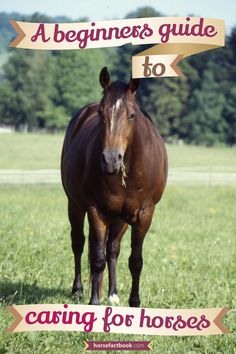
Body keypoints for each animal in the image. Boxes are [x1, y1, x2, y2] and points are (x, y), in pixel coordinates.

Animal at [60, 67, 168, 306]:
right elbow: (97, 258)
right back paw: (79, 290)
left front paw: (134, 302)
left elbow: (135, 260)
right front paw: (94, 302)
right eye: (102, 114)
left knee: (113, 249)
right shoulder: (96, 210)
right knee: (79, 243)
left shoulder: (144, 214)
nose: (110, 159)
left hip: (120, 218)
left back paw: (112, 293)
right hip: (75, 205)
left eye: (132, 115)